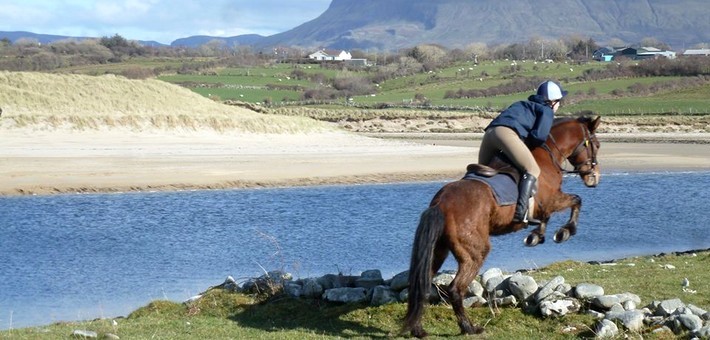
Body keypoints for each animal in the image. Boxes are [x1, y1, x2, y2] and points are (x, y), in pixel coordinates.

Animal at [406, 115, 600, 338]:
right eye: (596, 145)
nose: (594, 177)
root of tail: (441, 203)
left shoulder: (545, 206)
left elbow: (548, 216)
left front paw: (536, 235)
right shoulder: (552, 200)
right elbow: (576, 201)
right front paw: (565, 232)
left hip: (438, 250)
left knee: (423, 284)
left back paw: (418, 329)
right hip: (474, 252)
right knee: (455, 289)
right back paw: (469, 327)